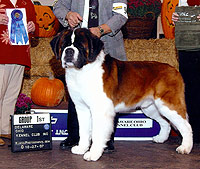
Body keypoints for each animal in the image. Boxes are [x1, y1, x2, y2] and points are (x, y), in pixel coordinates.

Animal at [50, 27, 193, 161]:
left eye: (80, 46)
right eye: (64, 45)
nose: (69, 51)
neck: (82, 70)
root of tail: (174, 69)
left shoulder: (100, 110)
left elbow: (97, 132)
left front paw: (93, 154)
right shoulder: (82, 109)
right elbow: (84, 130)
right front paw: (81, 148)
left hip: (168, 104)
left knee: (186, 125)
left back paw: (185, 147)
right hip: (152, 107)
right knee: (165, 122)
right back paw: (161, 138)